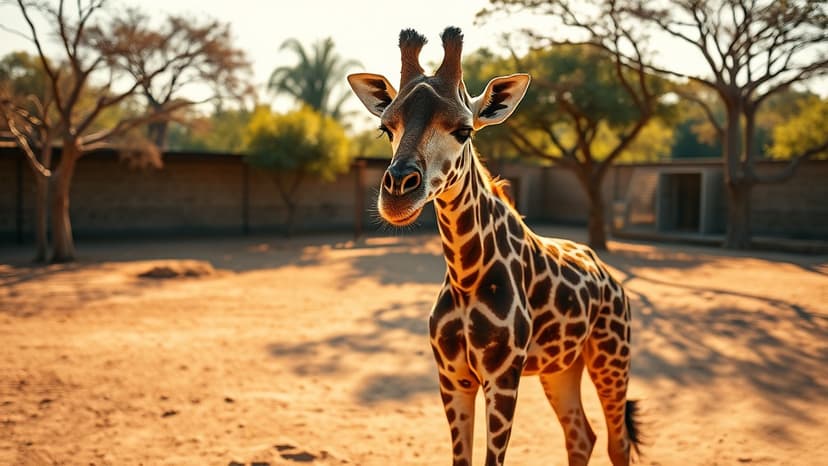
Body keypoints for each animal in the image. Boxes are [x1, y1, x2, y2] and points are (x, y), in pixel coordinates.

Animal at [347, 27, 641, 466]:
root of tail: (610, 276)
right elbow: (461, 459)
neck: (465, 277)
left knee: (616, 442)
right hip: (562, 366)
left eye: (464, 130)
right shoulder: (453, 377)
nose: (398, 194)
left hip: (611, 355)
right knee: (580, 435)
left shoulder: (502, 376)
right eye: (386, 127)